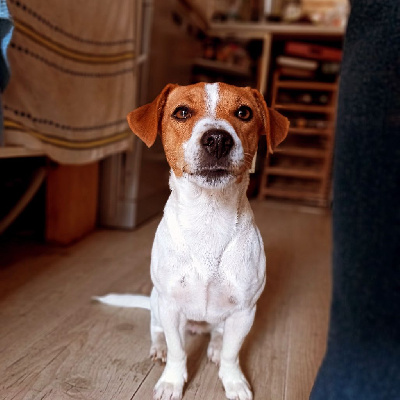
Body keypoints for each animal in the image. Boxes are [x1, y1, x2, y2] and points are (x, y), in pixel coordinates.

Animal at [94, 82, 288, 400]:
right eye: (182, 112)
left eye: (244, 112)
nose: (217, 139)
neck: (208, 219)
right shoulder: (171, 307)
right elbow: (177, 351)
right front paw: (172, 382)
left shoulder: (244, 311)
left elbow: (232, 354)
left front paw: (233, 381)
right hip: (157, 301)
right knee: (157, 329)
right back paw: (159, 348)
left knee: (218, 335)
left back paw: (215, 346)